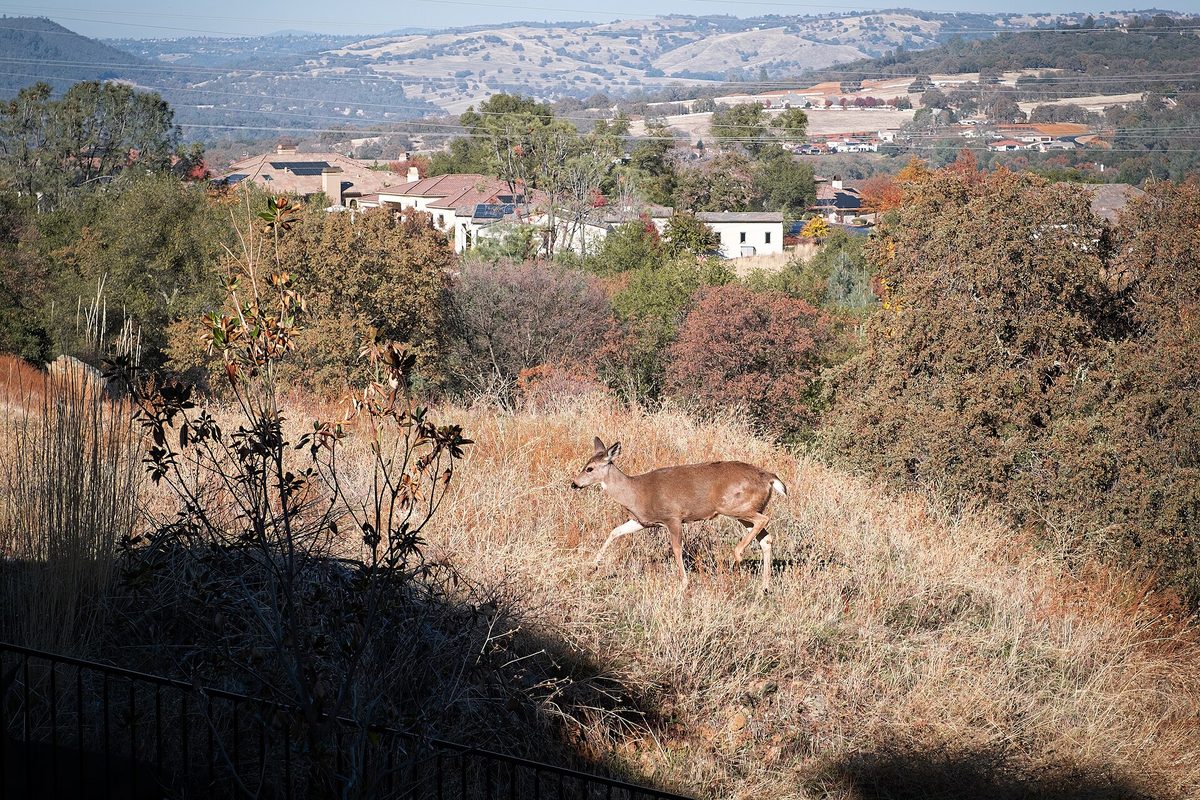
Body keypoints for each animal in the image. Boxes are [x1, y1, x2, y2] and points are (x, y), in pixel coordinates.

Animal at [571, 437, 787, 591]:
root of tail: (770, 478)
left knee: (763, 520)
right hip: (746, 510)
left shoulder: (673, 517)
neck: (636, 493)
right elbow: (615, 532)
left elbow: (676, 548)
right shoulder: (643, 521)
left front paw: (683, 583)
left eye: (589, 468)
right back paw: (764, 586)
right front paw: (592, 567)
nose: (574, 483)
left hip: (733, 507)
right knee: (766, 538)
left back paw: (738, 553)